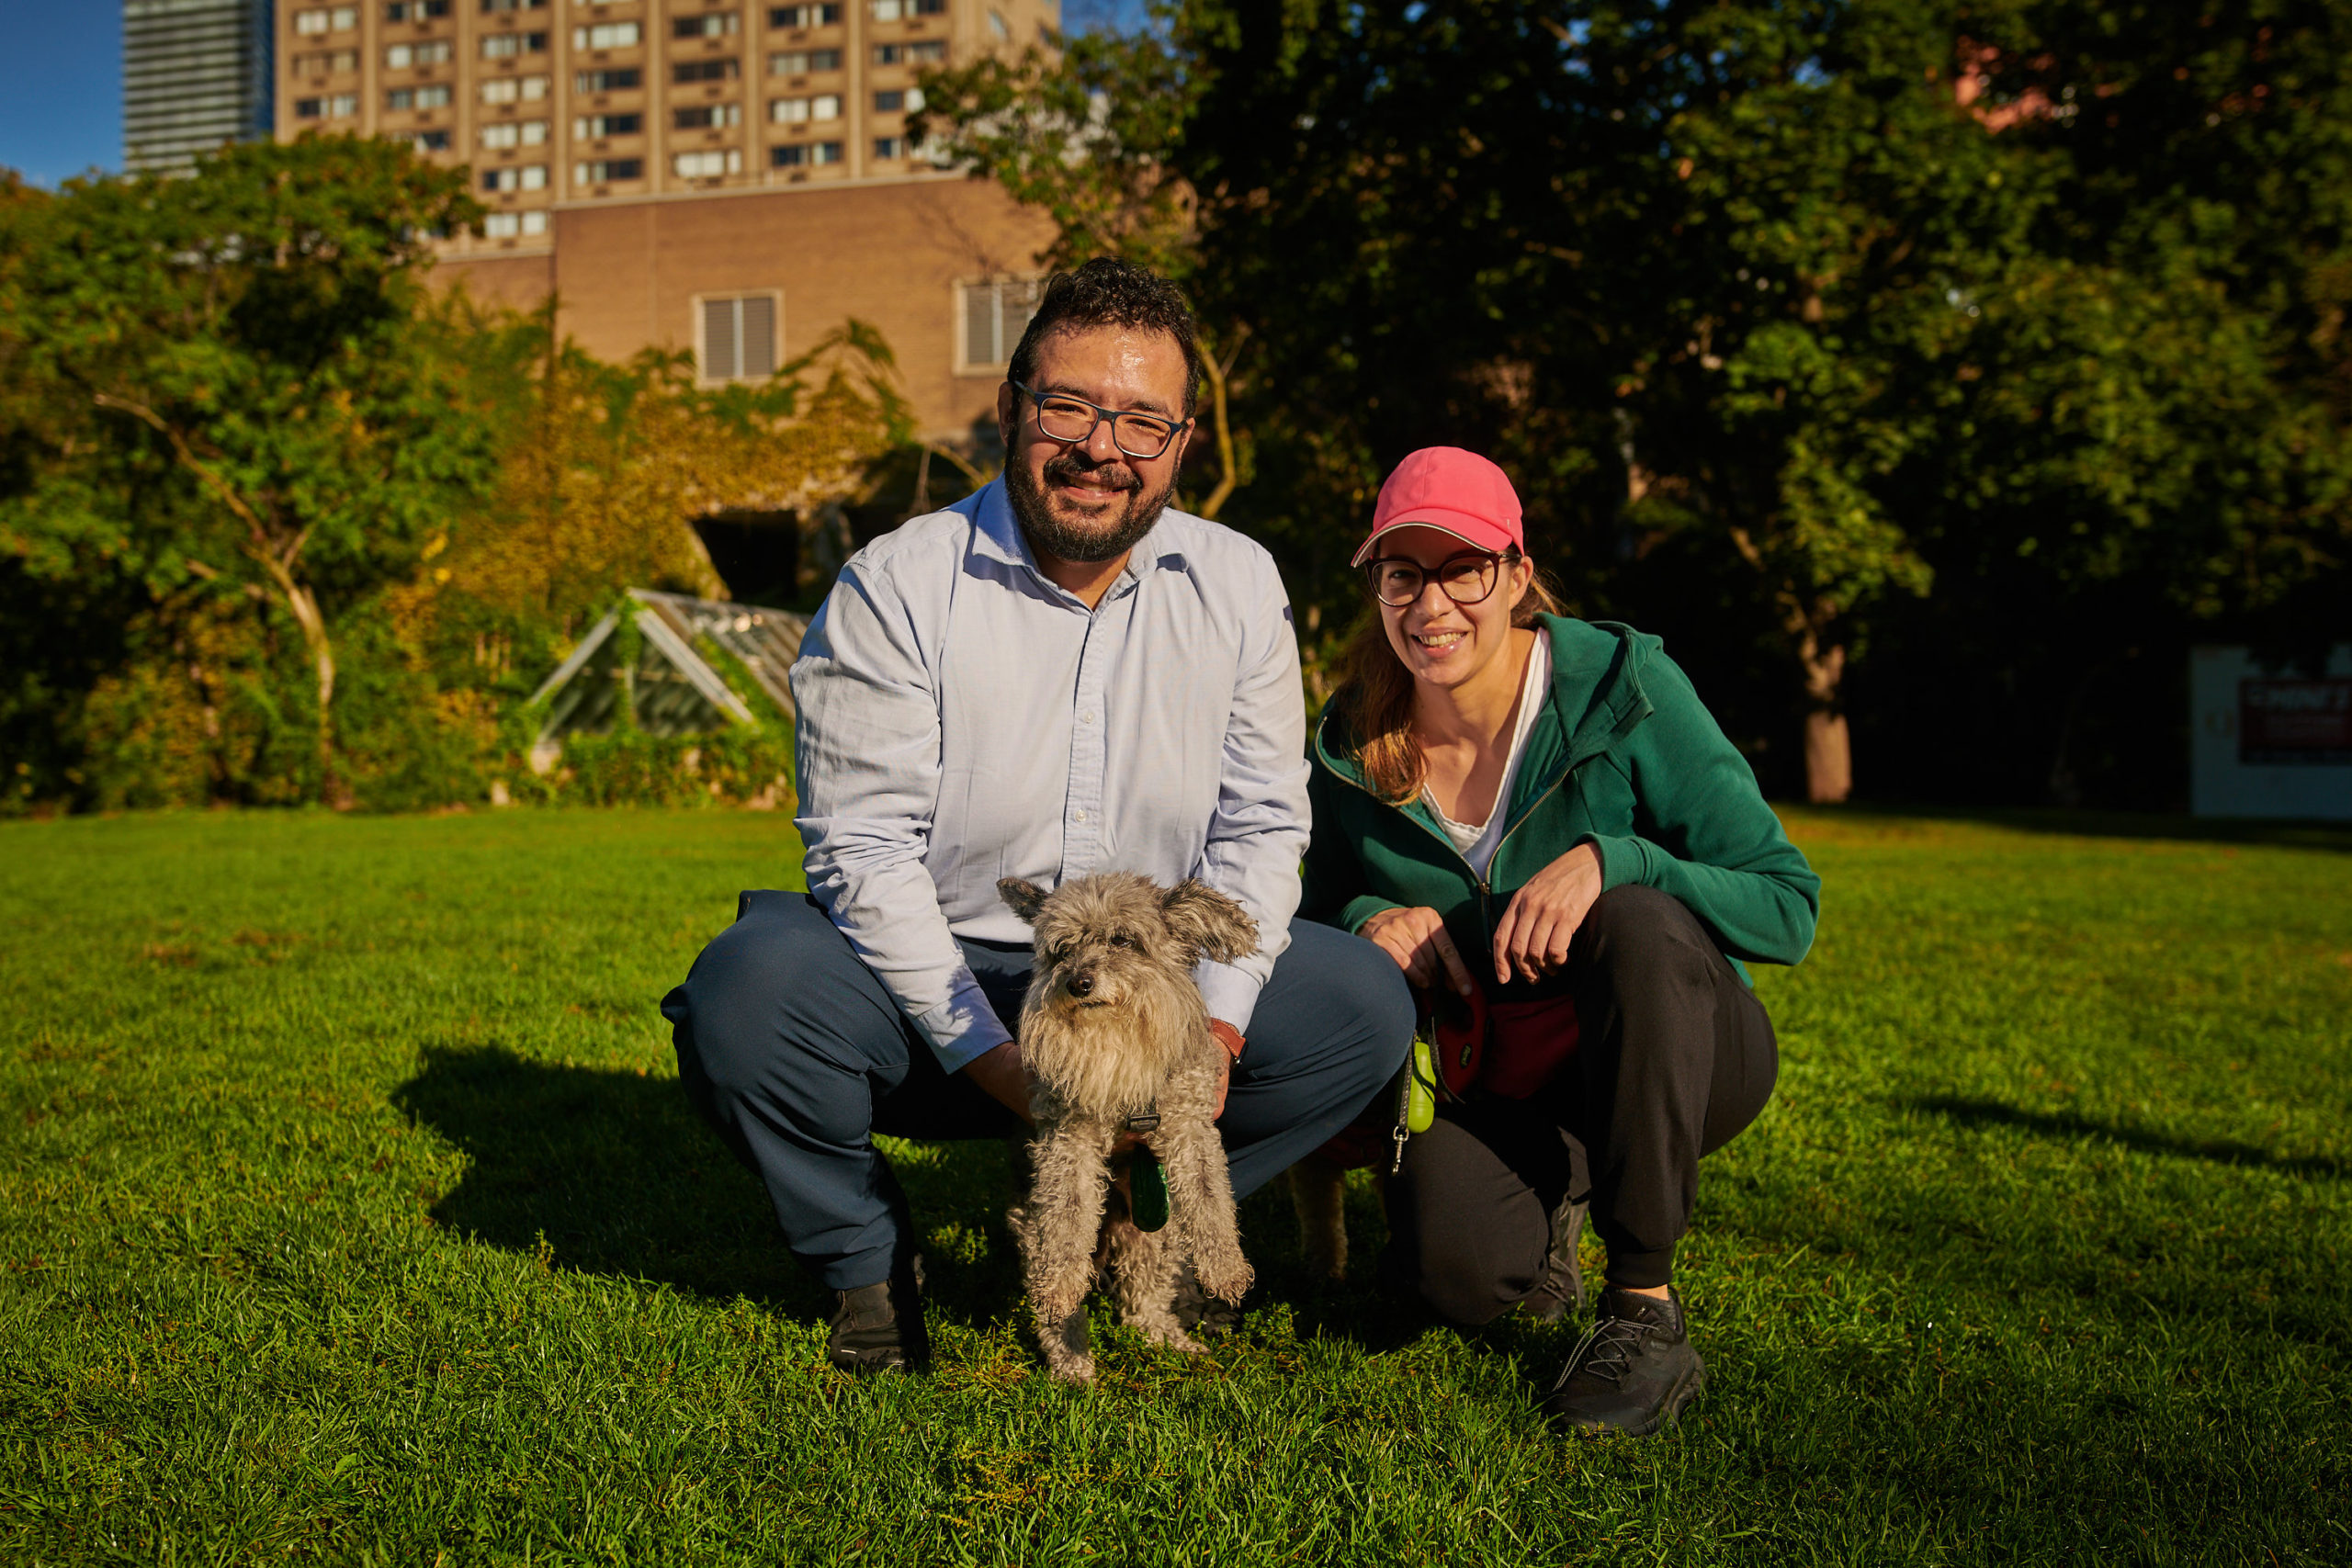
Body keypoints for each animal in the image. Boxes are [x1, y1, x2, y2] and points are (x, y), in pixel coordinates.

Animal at [997, 869, 1261, 1382]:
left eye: (1122, 940)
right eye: (1061, 950)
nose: (1078, 982)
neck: (1116, 1041)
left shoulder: (1190, 1128)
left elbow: (1211, 1199)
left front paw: (1225, 1268)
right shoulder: (1068, 1141)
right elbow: (1067, 1218)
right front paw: (1061, 1288)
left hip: (1155, 1229)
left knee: (1145, 1301)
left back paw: (1167, 1339)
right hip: (1032, 1229)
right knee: (1059, 1300)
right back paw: (1072, 1362)